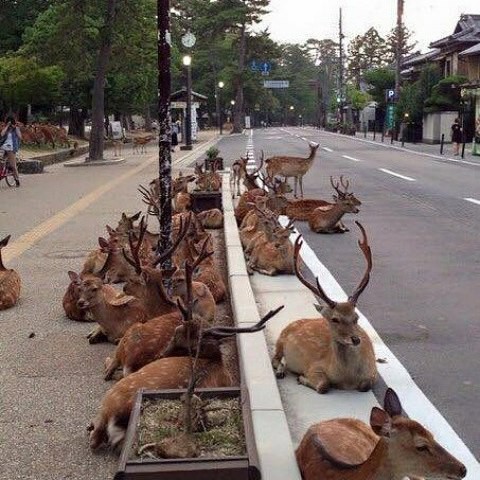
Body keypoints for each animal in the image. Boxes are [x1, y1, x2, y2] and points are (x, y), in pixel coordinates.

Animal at [272, 223, 376, 392]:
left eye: (356, 317)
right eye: (335, 319)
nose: (355, 339)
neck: (347, 379)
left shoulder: (373, 371)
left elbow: (365, 386)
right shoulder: (314, 367)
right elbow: (324, 385)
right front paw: (302, 378)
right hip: (280, 338)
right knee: (275, 359)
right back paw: (281, 371)